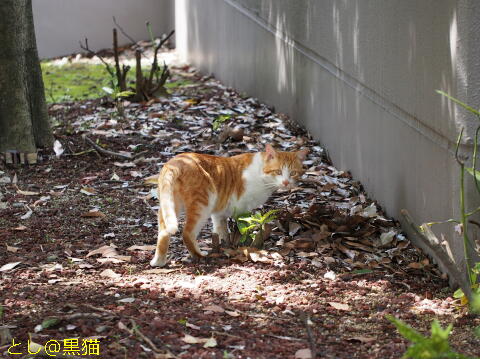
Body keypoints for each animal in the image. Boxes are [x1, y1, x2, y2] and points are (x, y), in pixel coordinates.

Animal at [149, 144, 308, 268]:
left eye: (293, 173)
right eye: (278, 171)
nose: (286, 183)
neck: (261, 173)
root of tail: (175, 162)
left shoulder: (219, 212)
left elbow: (221, 230)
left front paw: (223, 245)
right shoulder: (242, 210)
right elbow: (242, 228)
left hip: (169, 206)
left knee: (163, 232)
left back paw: (159, 261)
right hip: (202, 205)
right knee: (187, 233)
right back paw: (199, 255)